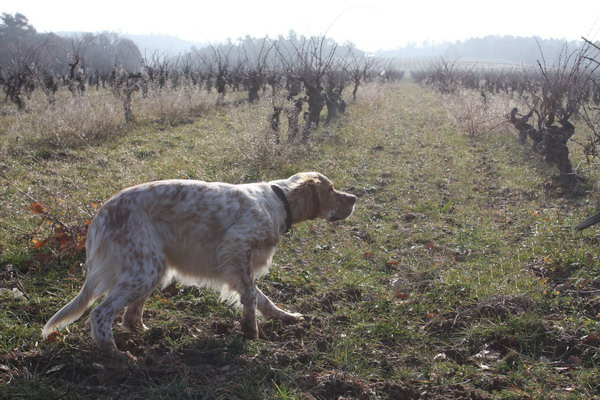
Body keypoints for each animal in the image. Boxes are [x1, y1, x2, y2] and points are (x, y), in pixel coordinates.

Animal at [42, 172, 356, 360]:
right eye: (331, 189)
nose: (354, 198)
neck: (277, 201)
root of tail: (102, 213)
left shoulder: (236, 262)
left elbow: (262, 298)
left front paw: (286, 317)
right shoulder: (236, 247)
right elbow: (251, 295)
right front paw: (251, 332)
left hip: (152, 268)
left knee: (130, 317)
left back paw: (148, 334)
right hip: (145, 270)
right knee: (101, 314)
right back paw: (117, 355)